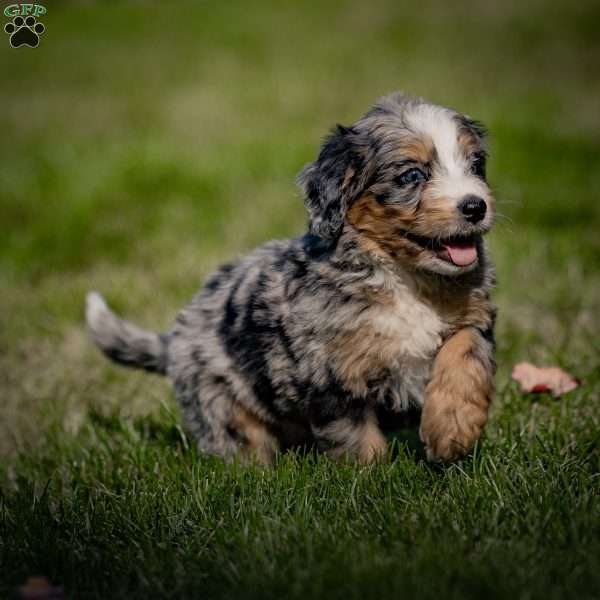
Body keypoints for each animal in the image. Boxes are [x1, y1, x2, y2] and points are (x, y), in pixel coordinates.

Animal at [85, 94, 496, 466]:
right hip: (220, 401)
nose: (475, 206)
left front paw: (452, 430)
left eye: (476, 165)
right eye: (412, 175)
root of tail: (174, 340)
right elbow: (356, 438)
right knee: (243, 444)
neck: (405, 278)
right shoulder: (331, 373)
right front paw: (371, 481)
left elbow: (465, 353)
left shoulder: (474, 316)